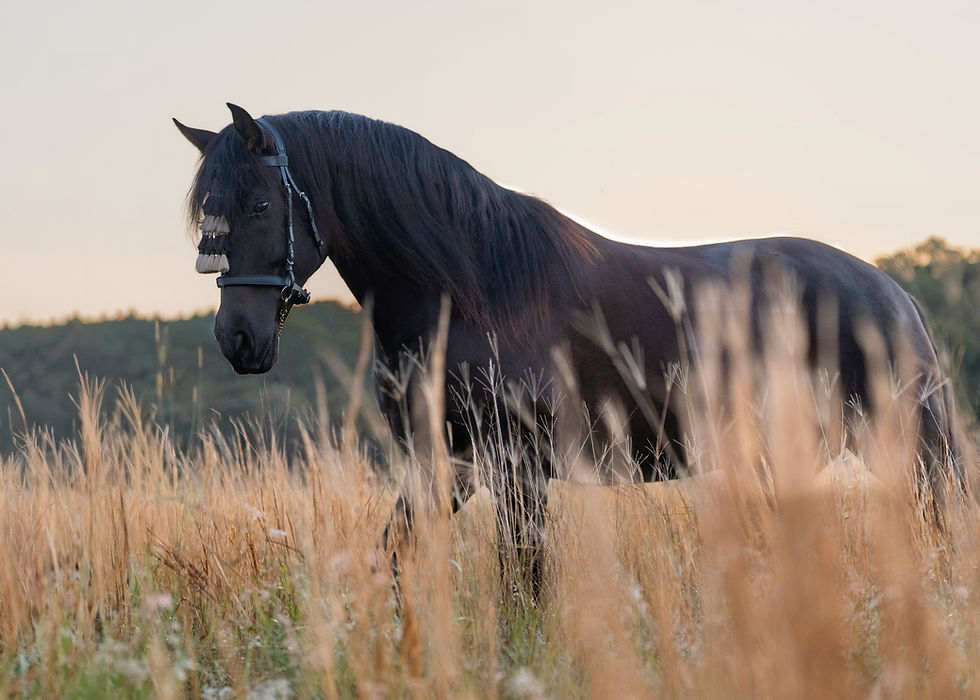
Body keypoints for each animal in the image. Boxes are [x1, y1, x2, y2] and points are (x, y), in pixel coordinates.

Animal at [174, 104, 965, 595]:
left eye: (258, 205)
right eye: (204, 213)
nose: (238, 340)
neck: (471, 287)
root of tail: (889, 292)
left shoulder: (519, 468)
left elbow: (524, 584)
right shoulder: (444, 466)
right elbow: (391, 561)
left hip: (904, 448)